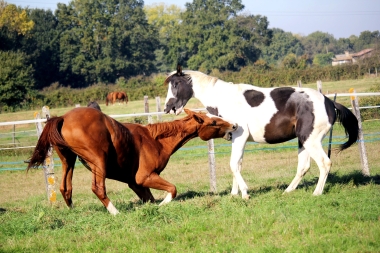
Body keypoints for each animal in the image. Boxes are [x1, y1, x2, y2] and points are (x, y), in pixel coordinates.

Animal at [26, 107, 236, 214]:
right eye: (214, 122)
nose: (234, 125)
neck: (155, 139)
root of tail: (63, 117)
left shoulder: (135, 183)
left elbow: (149, 198)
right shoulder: (145, 177)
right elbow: (172, 189)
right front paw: (162, 205)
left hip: (68, 161)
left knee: (65, 187)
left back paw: (72, 211)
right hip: (98, 161)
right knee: (98, 188)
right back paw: (115, 212)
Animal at [164, 64, 360, 199]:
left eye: (176, 84)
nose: (168, 108)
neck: (224, 99)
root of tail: (329, 102)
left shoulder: (239, 136)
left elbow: (233, 164)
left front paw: (244, 193)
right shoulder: (237, 140)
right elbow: (237, 165)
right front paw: (234, 194)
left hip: (310, 140)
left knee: (325, 163)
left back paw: (316, 193)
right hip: (303, 141)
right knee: (303, 167)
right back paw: (287, 191)